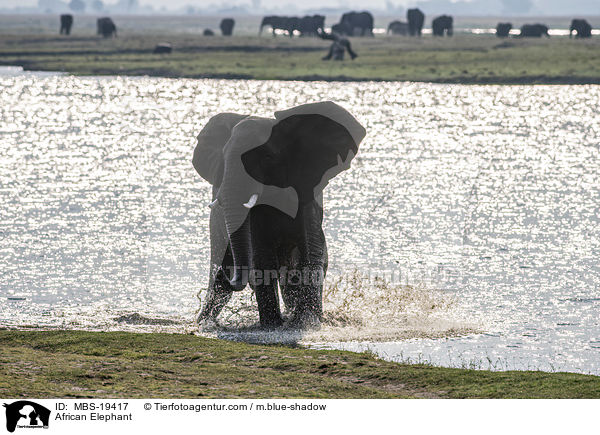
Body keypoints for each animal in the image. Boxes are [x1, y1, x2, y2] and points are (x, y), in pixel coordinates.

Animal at [193, 100, 366, 328]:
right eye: (224, 157)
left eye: (267, 158)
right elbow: (262, 257)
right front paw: (273, 324)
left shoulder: (306, 193)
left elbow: (311, 251)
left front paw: (306, 322)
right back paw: (203, 322)